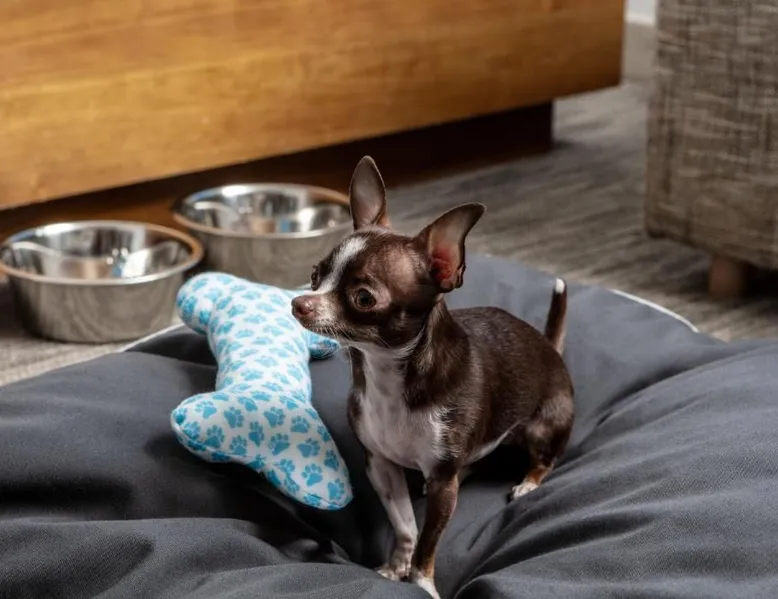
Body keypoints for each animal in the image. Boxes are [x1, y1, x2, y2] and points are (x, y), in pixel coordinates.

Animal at [291, 157, 574, 599]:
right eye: (316, 274)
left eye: (363, 298)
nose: (299, 302)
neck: (388, 376)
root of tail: (551, 348)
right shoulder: (382, 466)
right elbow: (406, 526)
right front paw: (396, 567)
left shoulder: (443, 482)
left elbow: (429, 542)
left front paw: (421, 584)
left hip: (543, 426)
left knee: (546, 458)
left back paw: (529, 482)